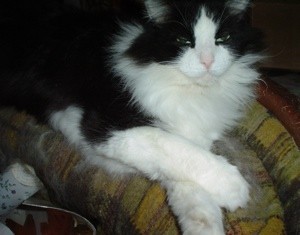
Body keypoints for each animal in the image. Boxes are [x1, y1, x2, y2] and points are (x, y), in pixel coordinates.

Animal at [0, 0, 262, 233]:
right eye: (184, 41)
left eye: (223, 39)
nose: (208, 61)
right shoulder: (106, 128)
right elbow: (174, 147)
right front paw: (233, 185)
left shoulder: (191, 132)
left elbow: (192, 189)